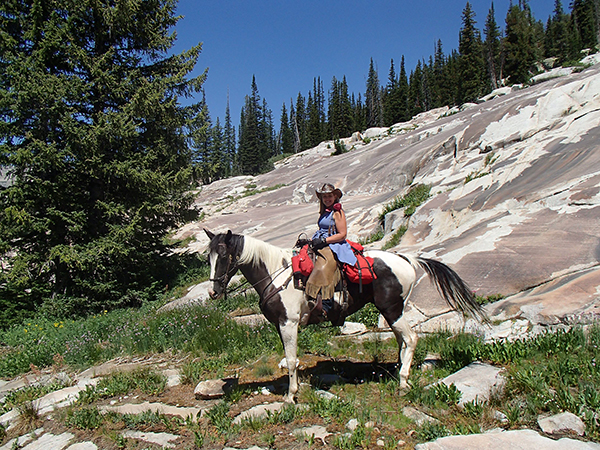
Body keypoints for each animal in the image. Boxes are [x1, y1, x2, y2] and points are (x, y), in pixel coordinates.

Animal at [204, 230, 486, 402]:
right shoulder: (280, 326)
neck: (276, 273)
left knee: (412, 338)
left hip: (392, 310)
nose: (213, 292)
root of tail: (407, 259)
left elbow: (292, 360)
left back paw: (404, 382)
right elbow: (290, 359)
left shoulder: (289, 324)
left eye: (225, 256)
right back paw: (397, 372)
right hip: (394, 311)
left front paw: (291, 396)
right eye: (209, 257)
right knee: (402, 341)